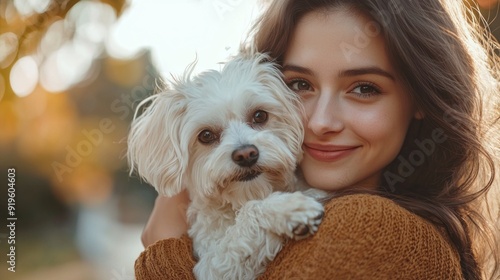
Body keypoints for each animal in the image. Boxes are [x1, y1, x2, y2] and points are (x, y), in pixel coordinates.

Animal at [128, 52, 324, 280]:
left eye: (260, 115)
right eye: (205, 135)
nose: (246, 154)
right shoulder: (212, 266)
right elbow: (251, 211)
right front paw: (288, 208)